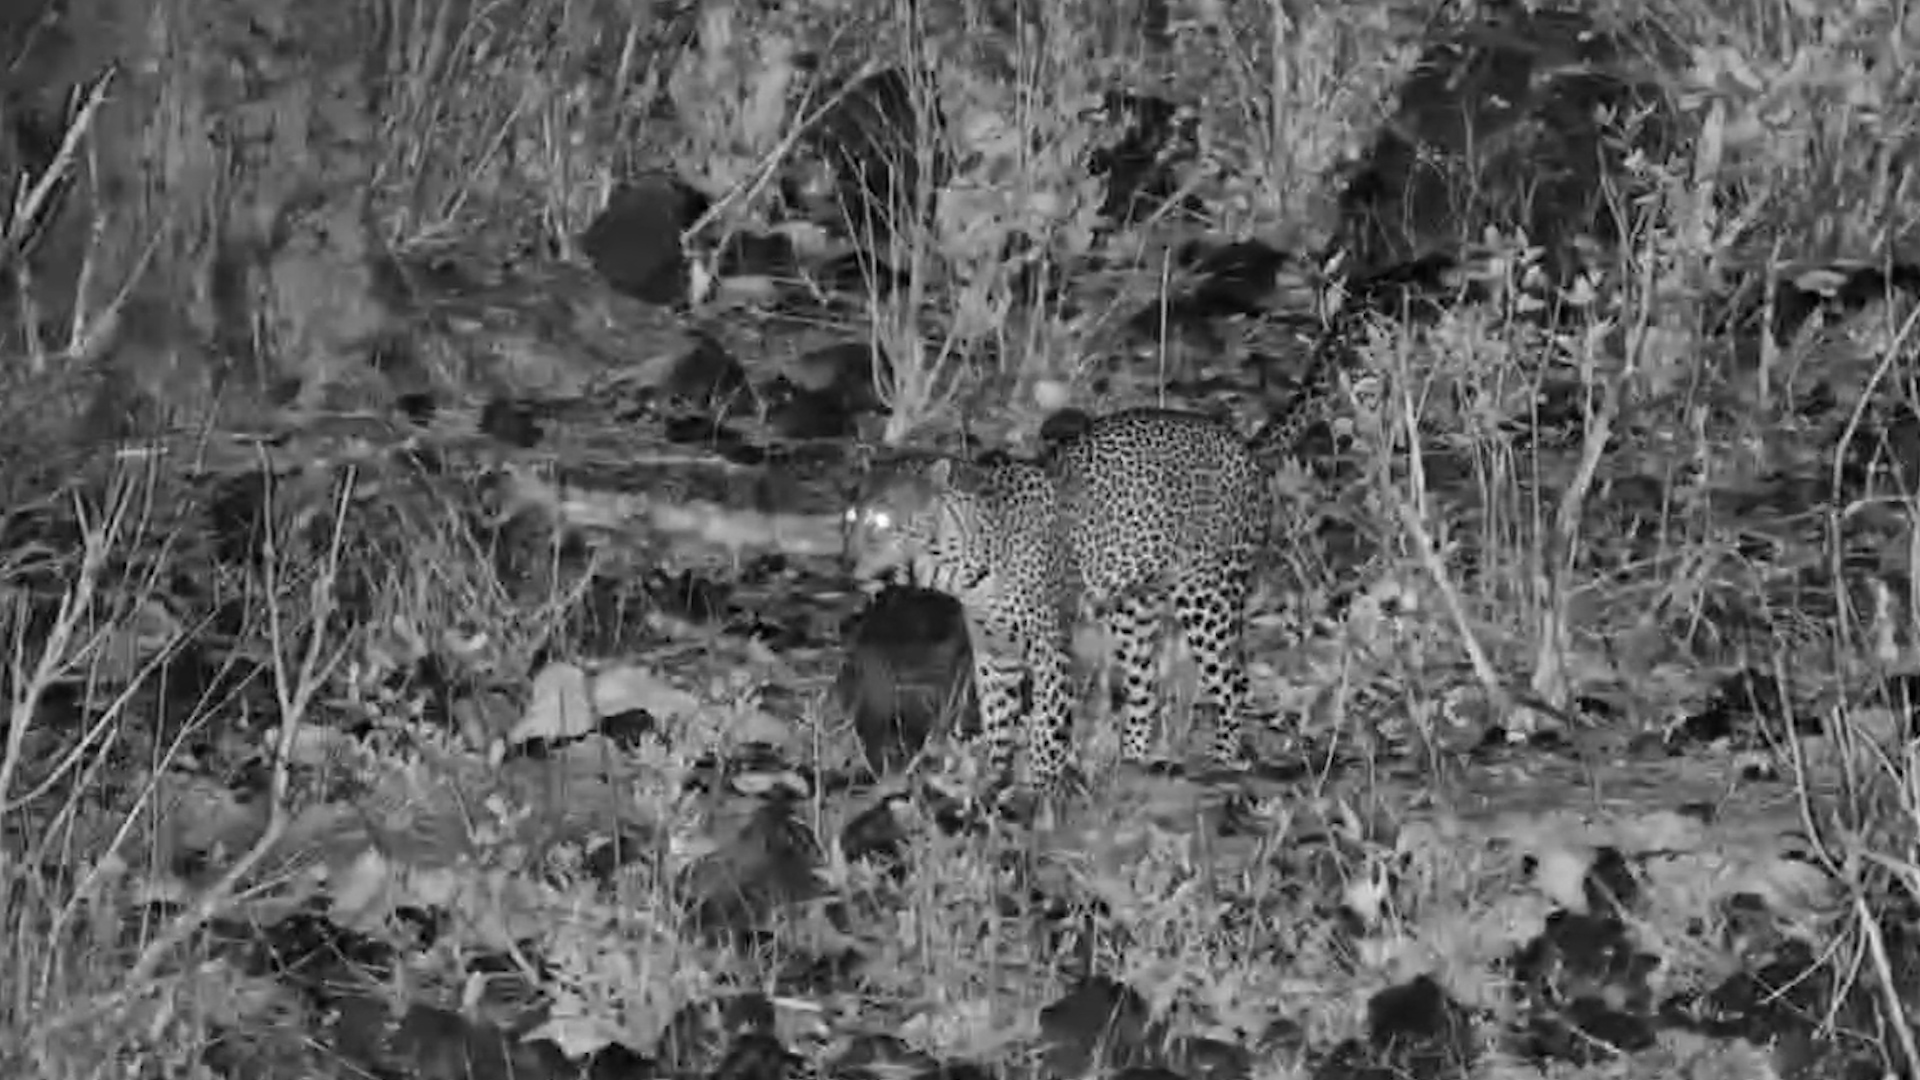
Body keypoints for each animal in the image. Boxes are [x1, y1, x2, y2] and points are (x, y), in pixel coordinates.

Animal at [842, 407, 1283, 794]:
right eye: (850, 517)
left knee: (1233, 682)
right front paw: (992, 783)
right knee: (1145, 686)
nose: (845, 559)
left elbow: (1048, 725)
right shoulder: (994, 651)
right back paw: (1131, 763)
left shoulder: (1049, 647)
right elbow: (997, 719)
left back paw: (1222, 761)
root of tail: (1242, 444)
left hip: (1208, 598)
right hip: (1132, 610)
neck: (955, 569)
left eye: (881, 522)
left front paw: (1039, 792)